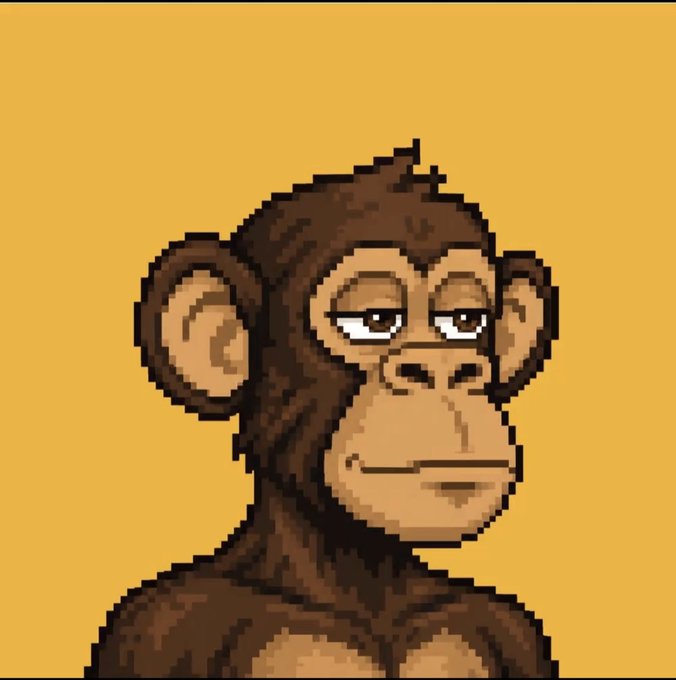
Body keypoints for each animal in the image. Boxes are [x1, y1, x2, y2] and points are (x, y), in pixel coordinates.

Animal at [87, 141, 559, 678]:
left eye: (465, 321)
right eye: (375, 319)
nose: (444, 368)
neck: (360, 578)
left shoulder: (511, 629)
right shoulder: (157, 629)